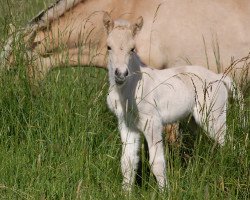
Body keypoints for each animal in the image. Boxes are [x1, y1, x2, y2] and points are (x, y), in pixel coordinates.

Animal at [103, 12, 232, 192]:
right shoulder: (126, 124)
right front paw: (126, 192)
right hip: (195, 120)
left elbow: (156, 162)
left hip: (214, 116)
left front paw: (164, 192)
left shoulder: (152, 122)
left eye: (132, 49)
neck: (128, 88)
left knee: (226, 143)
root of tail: (220, 77)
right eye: (108, 47)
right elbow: (128, 162)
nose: (121, 74)